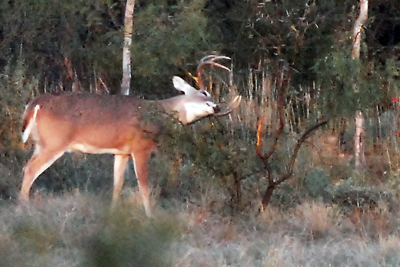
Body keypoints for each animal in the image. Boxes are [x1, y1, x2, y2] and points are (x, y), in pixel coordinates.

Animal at [19, 55, 241, 217]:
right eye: (204, 93)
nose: (217, 107)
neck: (159, 113)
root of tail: (34, 105)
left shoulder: (122, 152)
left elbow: (117, 185)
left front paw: (113, 213)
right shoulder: (141, 147)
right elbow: (144, 185)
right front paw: (150, 216)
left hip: (41, 143)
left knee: (26, 166)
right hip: (55, 143)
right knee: (30, 169)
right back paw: (23, 209)